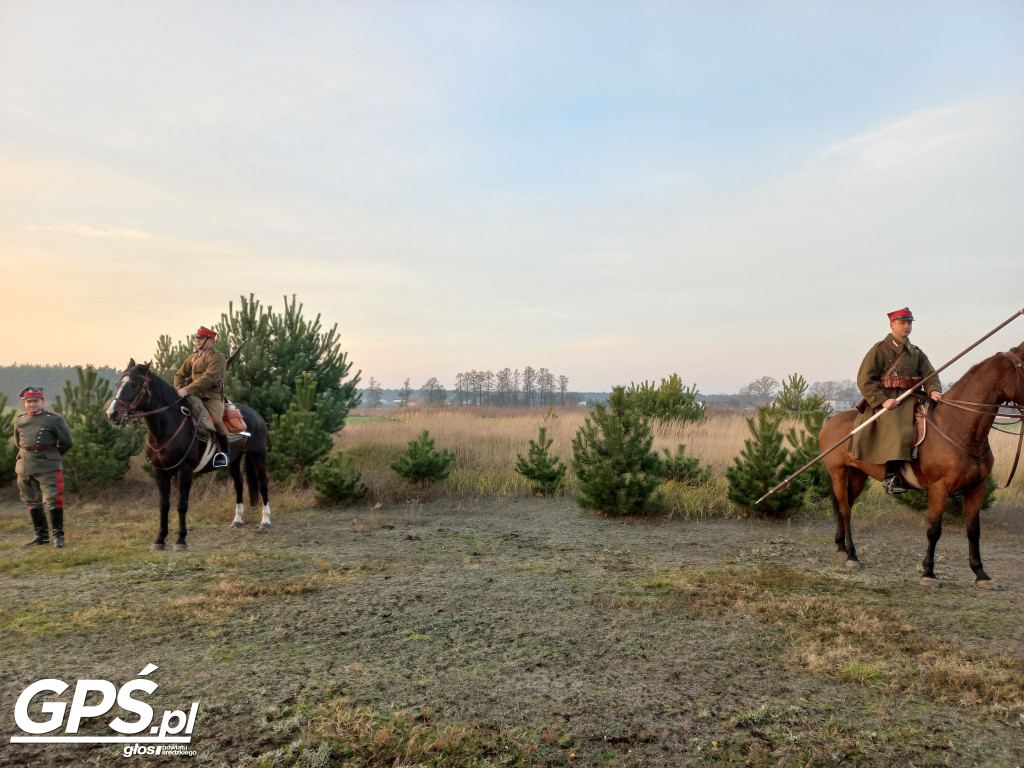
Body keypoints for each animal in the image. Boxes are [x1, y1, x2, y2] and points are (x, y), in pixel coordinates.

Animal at [107, 358, 272, 548]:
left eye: (134, 384)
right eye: (118, 384)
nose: (111, 413)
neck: (167, 426)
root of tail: (256, 415)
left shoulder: (184, 471)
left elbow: (182, 505)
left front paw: (180, 540)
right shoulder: (159, 472)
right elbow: (164, 505)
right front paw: (160, 539)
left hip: (258, 455)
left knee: (263, 483)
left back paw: (265, 521)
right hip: (234, 460)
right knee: (238, 484)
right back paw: (237, 520)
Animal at [815, 342, 1024, 589]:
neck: (958, 425)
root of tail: (829, 422)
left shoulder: (977, 488)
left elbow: (973, 530)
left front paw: (980, 573)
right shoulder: (939, 488)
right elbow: (934, 529)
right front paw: (928, 572)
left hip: (857, 476)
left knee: (843, 505)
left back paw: (841, 547)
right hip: (838, 472)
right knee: (846, 510)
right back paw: (852, 556)